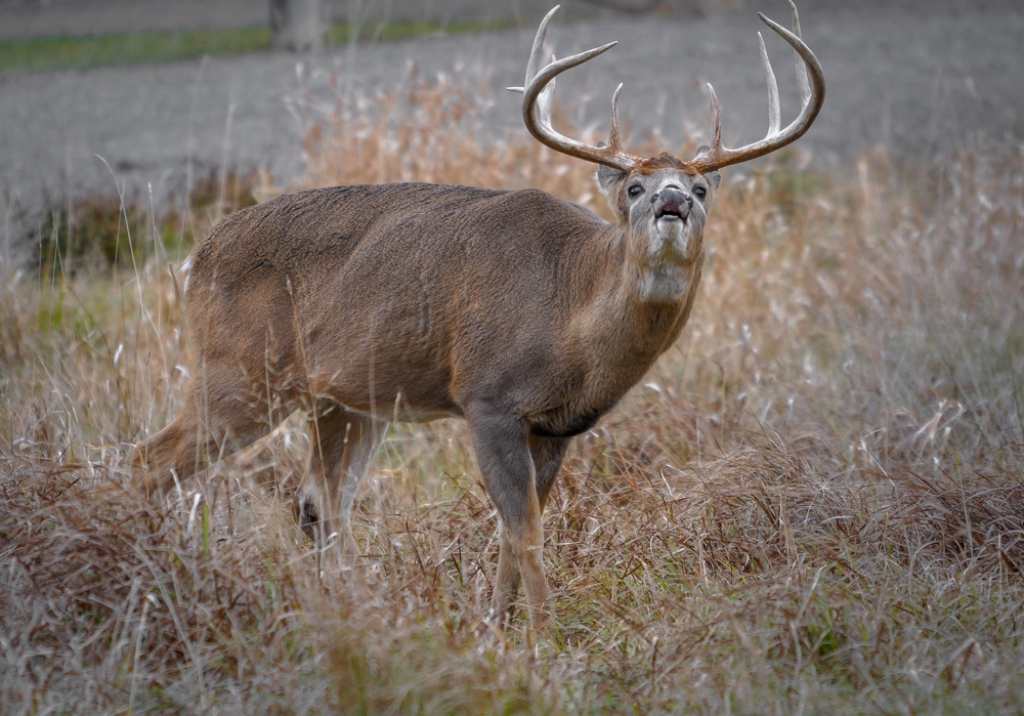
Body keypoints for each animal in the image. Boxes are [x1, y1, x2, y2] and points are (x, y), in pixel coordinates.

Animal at [131, 3, 824, 633]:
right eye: (634, 188)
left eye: (702, 189)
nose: (673, 201)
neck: (574, 320)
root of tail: (195, 257)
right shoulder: (489, 397)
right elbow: (524, 530)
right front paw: (545, 637)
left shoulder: (558, 426)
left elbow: (512, 530)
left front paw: (496, 626)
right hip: (241, 370)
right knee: (149, 460)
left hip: (347, 398)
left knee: (320, 502)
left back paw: (354, 611)